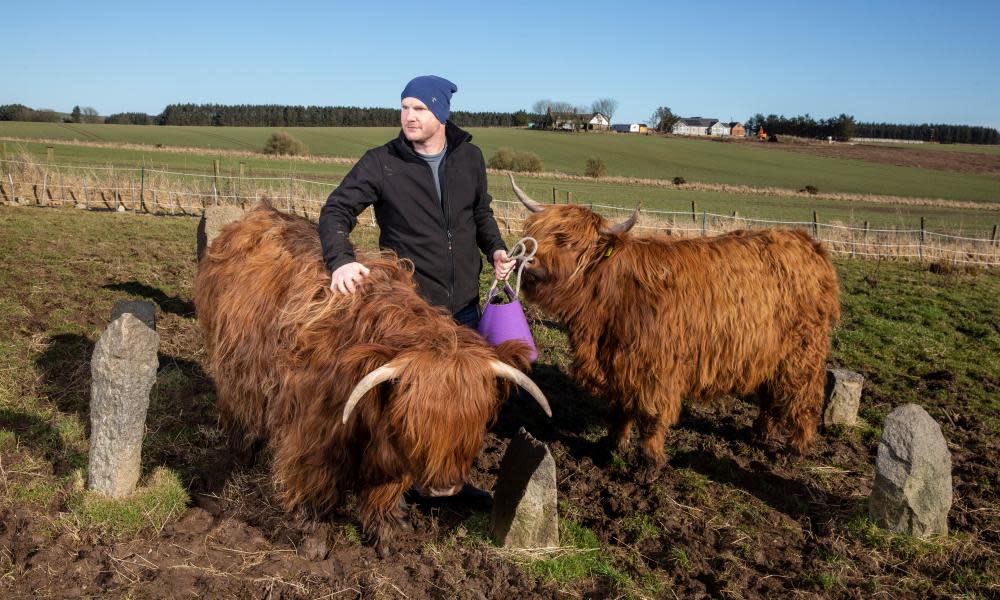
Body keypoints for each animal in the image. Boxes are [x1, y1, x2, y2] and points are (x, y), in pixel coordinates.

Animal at [195, 204, 552, 556]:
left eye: (475, 420)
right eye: (414, 421)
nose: (443, 488)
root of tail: (258, 212)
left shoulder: (391, 449)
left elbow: (385, 492)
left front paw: (385, 537)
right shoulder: (312, 433)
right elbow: (313, 482)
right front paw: (314, 540)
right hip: (234, 368)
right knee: (240, 412)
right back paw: (238, 460)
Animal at [504, 178, 840, 468]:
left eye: (569, 242)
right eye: (538, 232)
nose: (527, 263)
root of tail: (808, 243)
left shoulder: (659, 368)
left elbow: (653, 416)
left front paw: (649, 462)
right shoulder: (617, 363)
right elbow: (620, 409)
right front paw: (612, 445)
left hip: (802, 351)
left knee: (805, 395)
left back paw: (796, 447)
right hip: (772, 352)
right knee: (772, 395)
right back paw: (761, 432)